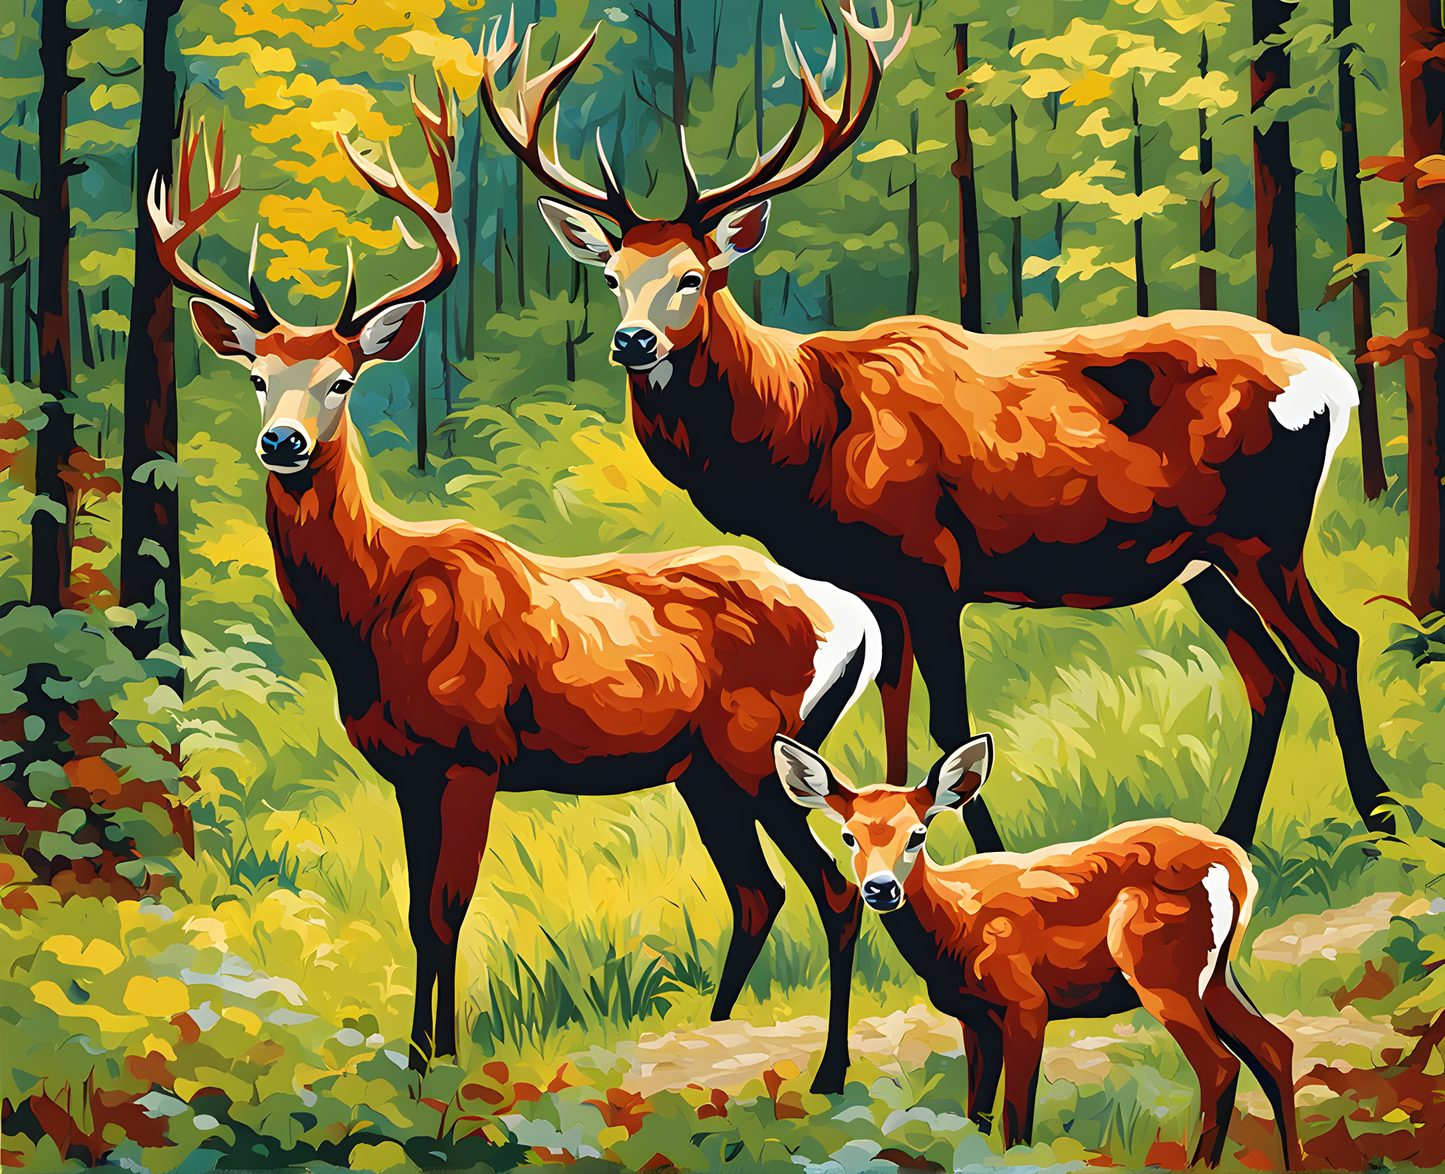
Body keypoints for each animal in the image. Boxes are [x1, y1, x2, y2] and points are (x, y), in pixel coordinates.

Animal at [146, 95, 884, 1093]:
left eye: (341, 380)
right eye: (259, 377)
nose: (283, 443)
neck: (375, 611)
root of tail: (854, 617)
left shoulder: (472, 751)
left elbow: (447, 910)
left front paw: (441, 1066)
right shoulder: (407, 767)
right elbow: (416, 913)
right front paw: (413, 1061)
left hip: (757, 747)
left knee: (833, 889)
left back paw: (829, 1072)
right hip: (703, 770)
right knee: (756, 892)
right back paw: (714, 1034)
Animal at [480, 1, 1395, 853]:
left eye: (693, 277)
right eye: (611, 276)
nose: (631, 341)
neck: (804, 436)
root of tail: (1333, 379)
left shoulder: (934, 565)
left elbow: (948, 727)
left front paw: (983, 857)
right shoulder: (877, 586)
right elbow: (891, 715)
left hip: (1263, 531)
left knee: (1334, 645)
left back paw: (1380, 822)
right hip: (1203, 559)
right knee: (1268, 673)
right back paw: (1235, 831)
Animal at [773, 732, 1300, 1168]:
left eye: (917, 834)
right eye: (848, 835)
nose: (880, 889)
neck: (954, 927)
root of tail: (1232, 862)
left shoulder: (1027, 1000)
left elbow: (1016, 1114)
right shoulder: (975, 1019)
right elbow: (976, 1113)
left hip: (1158, 969)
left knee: (1221, 1066)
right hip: (1214, 974)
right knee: (1274, 1046)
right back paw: (1293, 1160)